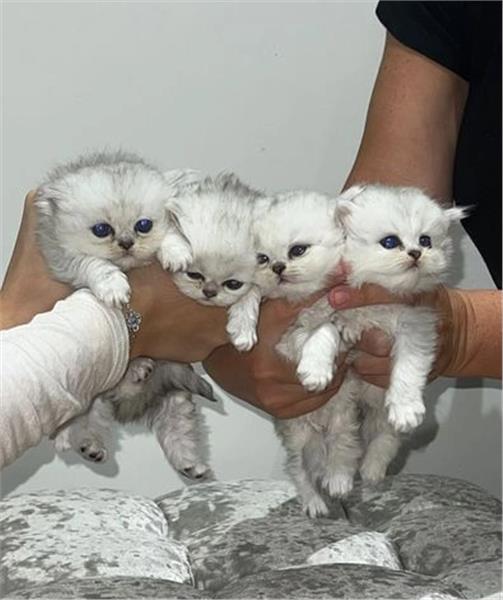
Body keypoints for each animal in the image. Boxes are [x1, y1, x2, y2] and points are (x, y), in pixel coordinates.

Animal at [36, 149, 187, 308]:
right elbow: (94, 264)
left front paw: (176, 253)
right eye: (101, 229)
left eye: (144, 225)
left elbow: (170, 232)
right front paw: (113, 287)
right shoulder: (60, 255)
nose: (126, 244)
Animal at [160, 173, 264, 352]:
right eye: (194, 275)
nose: (209, 292)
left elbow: (252, 292)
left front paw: (243, 328)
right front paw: (175, 253)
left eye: (233, 284)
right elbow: (169, 229)